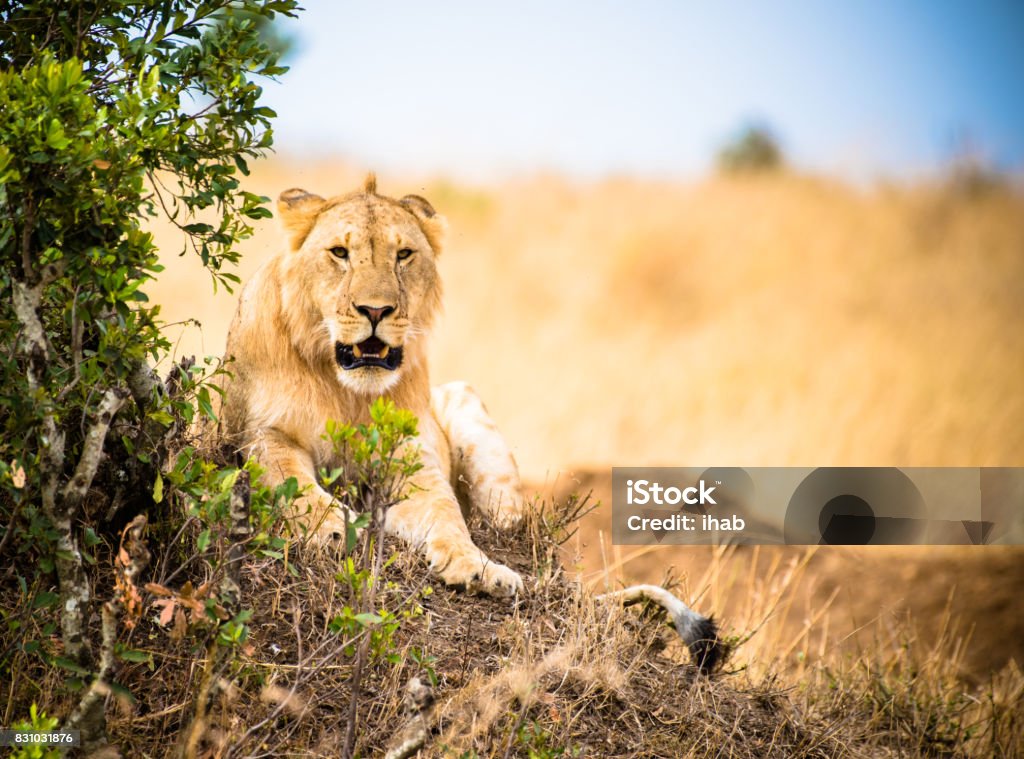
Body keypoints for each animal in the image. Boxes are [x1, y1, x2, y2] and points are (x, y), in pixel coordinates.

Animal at [211, 175, 524, 594]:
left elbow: (445, 510)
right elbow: (290, 480)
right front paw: (332, 529)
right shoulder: (262, 432)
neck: (349, 393)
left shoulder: (411, 455)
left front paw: (477, 566)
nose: (375, 310)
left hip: (464, 398)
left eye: (404, 254)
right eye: (339, 252)